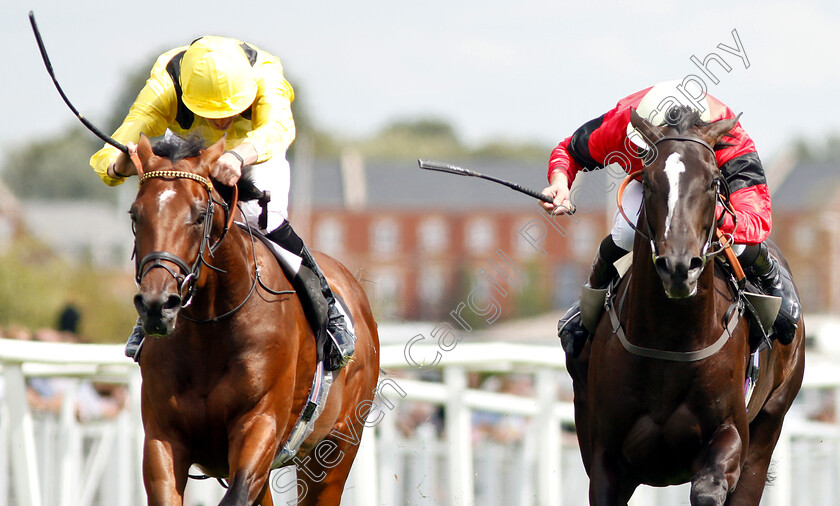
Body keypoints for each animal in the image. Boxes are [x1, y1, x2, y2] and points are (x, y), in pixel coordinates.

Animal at [130, 132, 380, 504]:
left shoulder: (259, 424)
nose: (157, 304)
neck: (210, 332)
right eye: (135, 215)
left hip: (335, 448)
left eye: (199, 215)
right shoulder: (163, 436)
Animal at [568, 108, 804, 504]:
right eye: (648, 181)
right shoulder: (605, 459)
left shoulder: (731, 436)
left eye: (712, 182)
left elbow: (708, 488)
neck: (670, 338)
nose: (679, 266)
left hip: (770, 423)